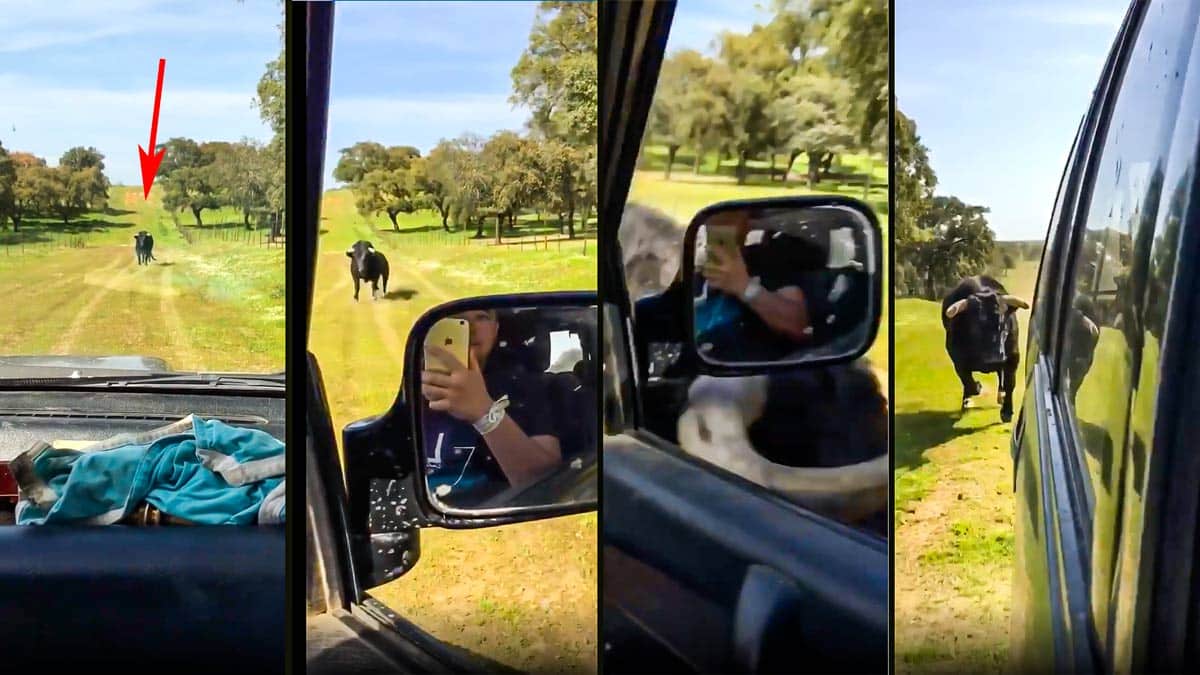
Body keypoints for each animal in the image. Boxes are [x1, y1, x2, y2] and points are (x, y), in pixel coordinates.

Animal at [936, 275, 1032, 420]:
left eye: (1003, 323)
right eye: (976, 326)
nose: (995, 358)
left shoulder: (1013, 357)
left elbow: (1010, 383)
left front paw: (1007, 411)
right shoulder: (958, 361)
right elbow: (968, 382)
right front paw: (976, 389)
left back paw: (1000, 396)